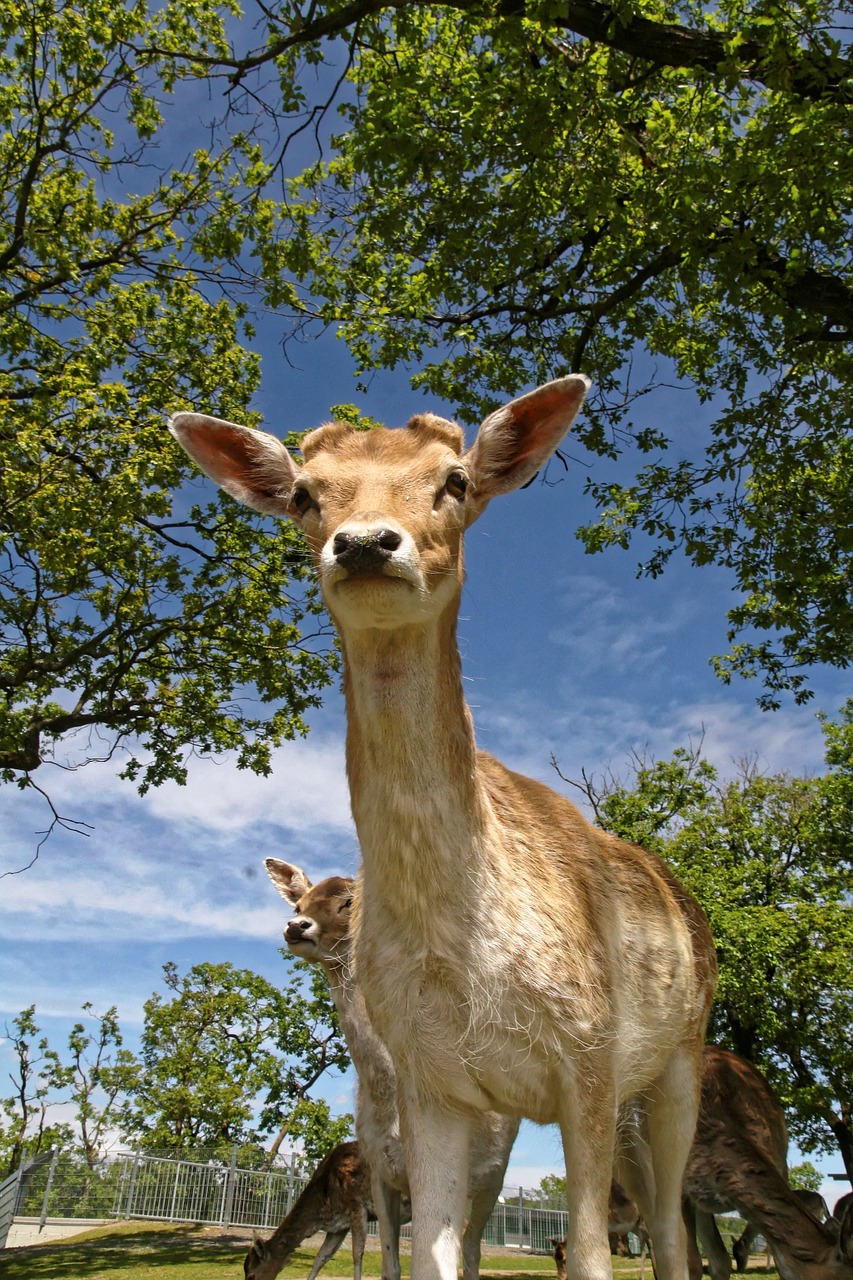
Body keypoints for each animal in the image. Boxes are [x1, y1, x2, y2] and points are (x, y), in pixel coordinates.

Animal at [266, 855, 517, 1280]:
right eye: (298, 904)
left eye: (348, 901)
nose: (296, 926)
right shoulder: (380, 1175)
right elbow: (390, 1265)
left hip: (492, 1178)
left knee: (472, 1250)